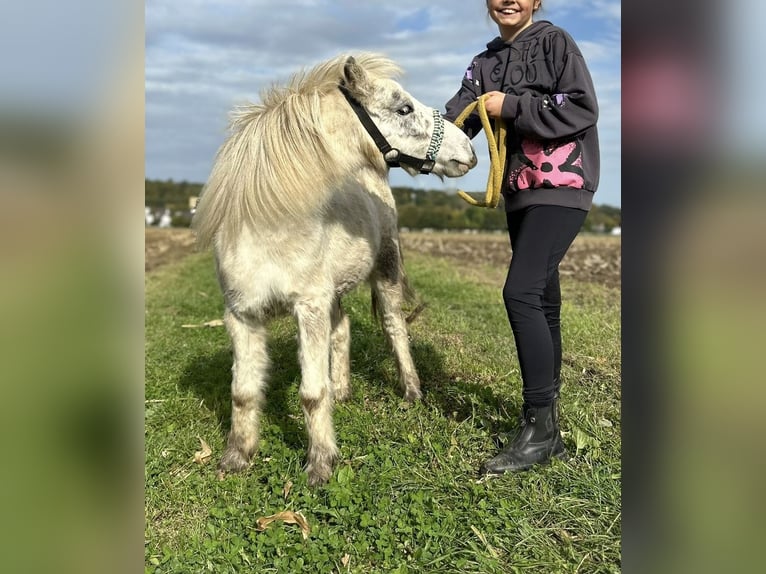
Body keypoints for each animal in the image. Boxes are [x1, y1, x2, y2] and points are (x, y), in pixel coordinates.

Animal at [191, 53, 477, 485]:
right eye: (403, 108)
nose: (469, 150)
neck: (268, 224)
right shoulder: (242, 315)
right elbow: (243, 392)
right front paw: (236, 458)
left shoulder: (308, 308)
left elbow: (311, 393)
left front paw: (321, 464)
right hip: (335, 290)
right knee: (342, 328)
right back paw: (343, 390)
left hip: (386, 273)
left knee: (395, 328)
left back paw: (411, 392)